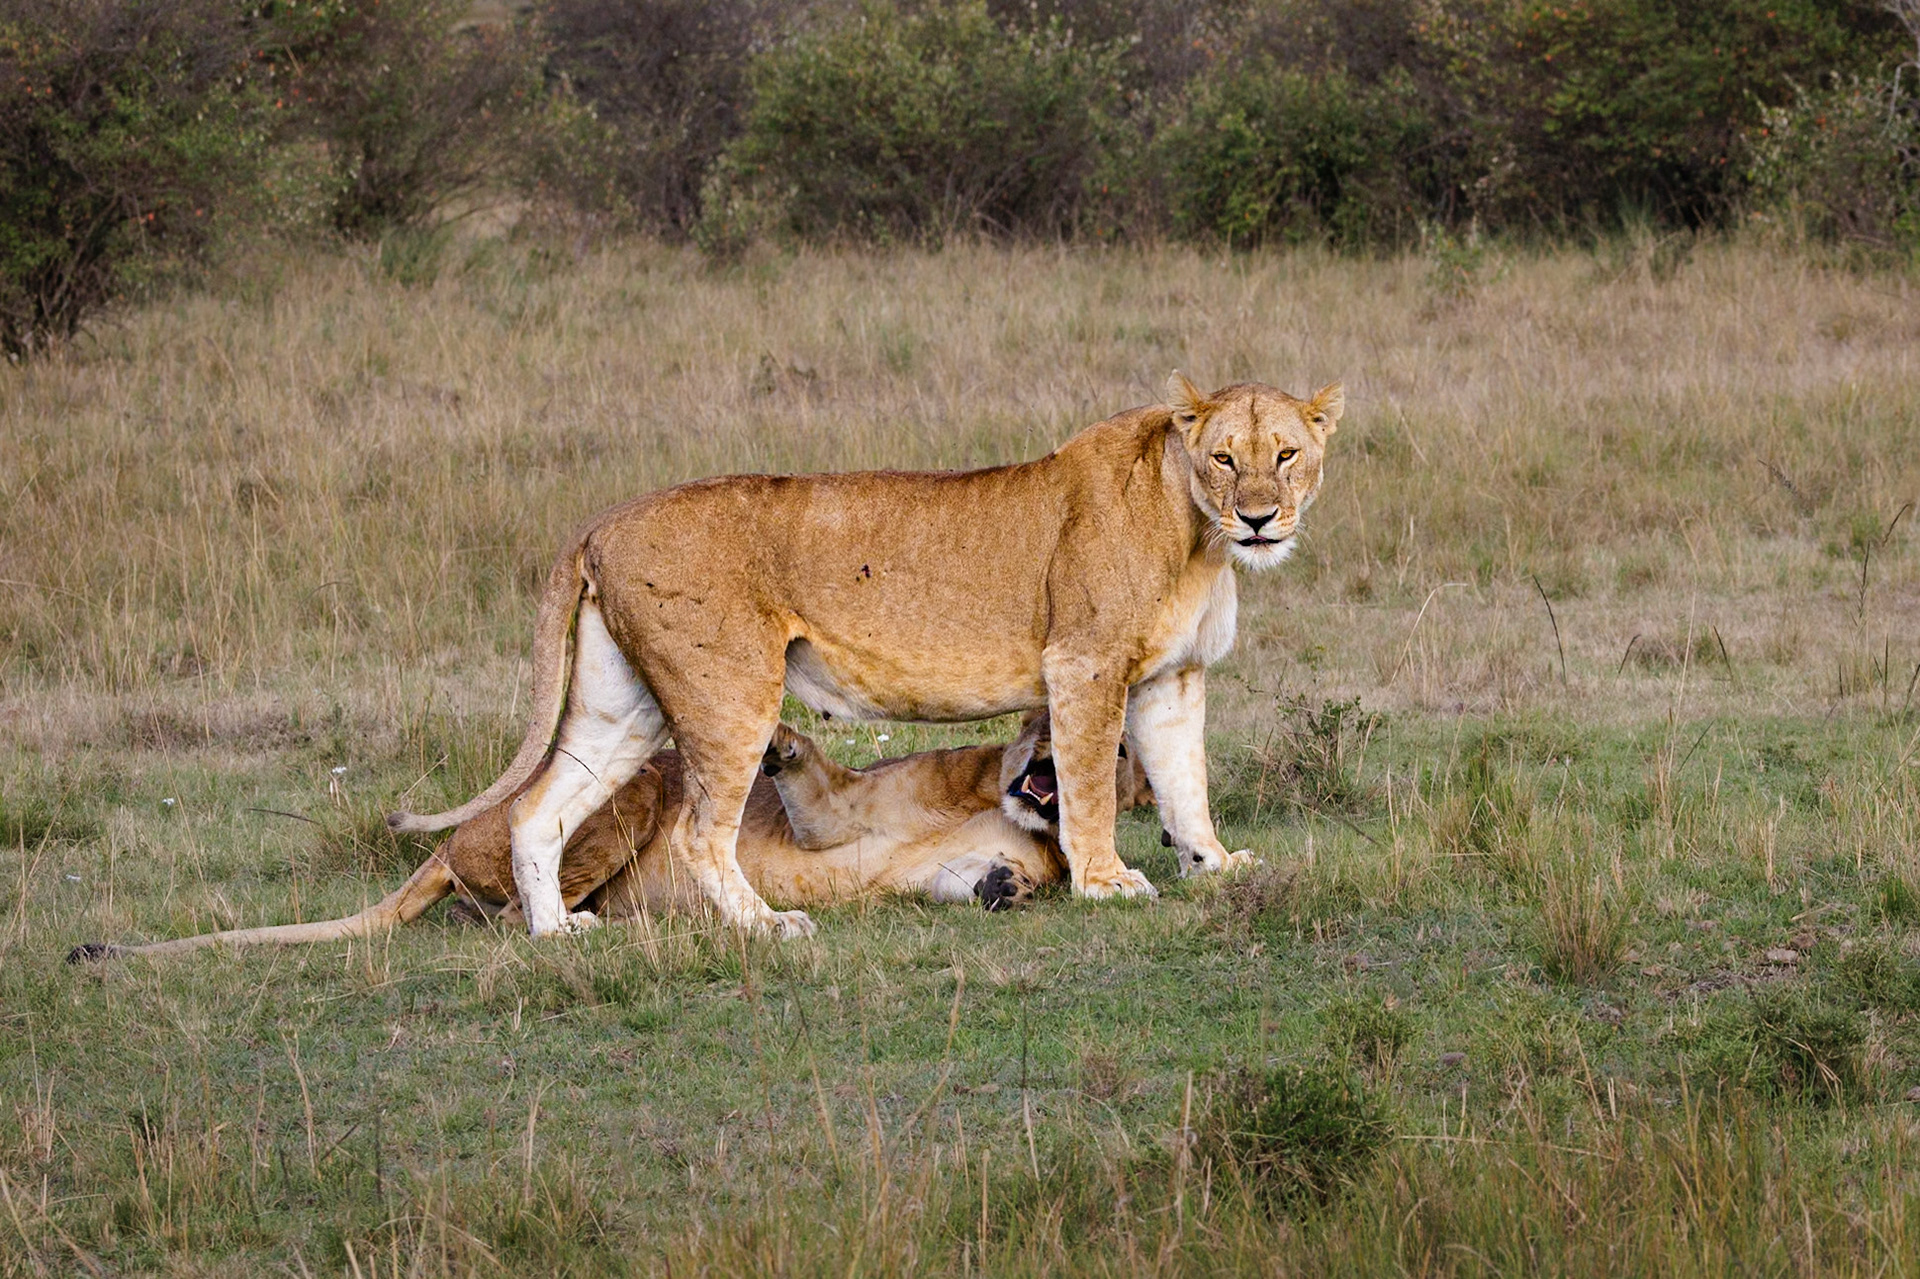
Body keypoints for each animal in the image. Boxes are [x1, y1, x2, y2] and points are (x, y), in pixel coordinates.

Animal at [386, 372, 1341, 939]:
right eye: (1225, 458)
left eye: (1287, 454)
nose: (1260, 518)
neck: (1200, 537)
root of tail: (598, 520)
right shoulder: (1085, 663)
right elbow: (1092, 788)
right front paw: (1107, 883)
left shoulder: (1174, 678)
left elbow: (1186, 782)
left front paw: (1214, 865)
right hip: (730, 690)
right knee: (698, 831)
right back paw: (768, 927)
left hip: (623, 704)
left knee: (535, 811)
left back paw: (557, 932)